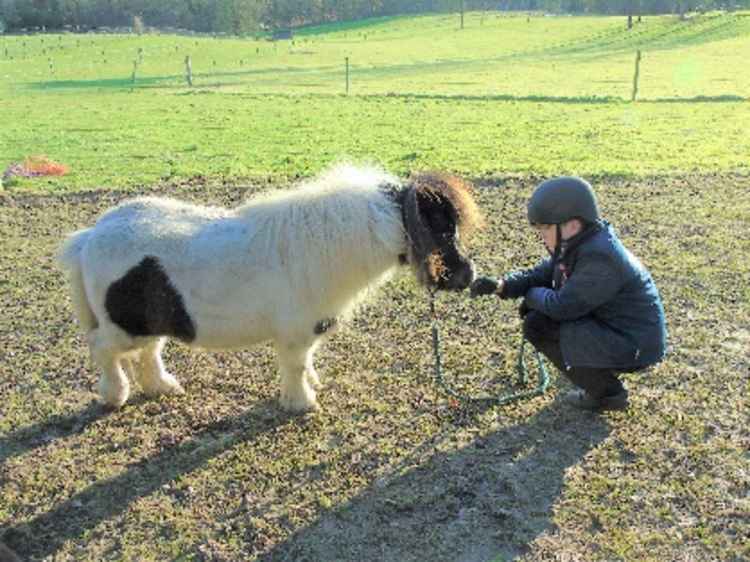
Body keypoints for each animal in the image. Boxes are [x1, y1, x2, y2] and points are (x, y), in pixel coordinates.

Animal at [57, 164, 482, 410]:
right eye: (440, 226)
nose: (468, 275)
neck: (321, 246)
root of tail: (90, 237)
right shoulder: (295, 334)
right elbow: (295, 366)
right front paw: (302, 404)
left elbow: (307, 363)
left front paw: (311, 388)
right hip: (123, 326)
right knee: (102, 348)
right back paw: (115, 395)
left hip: (152, 321)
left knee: (148, 352)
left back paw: (162, 387)